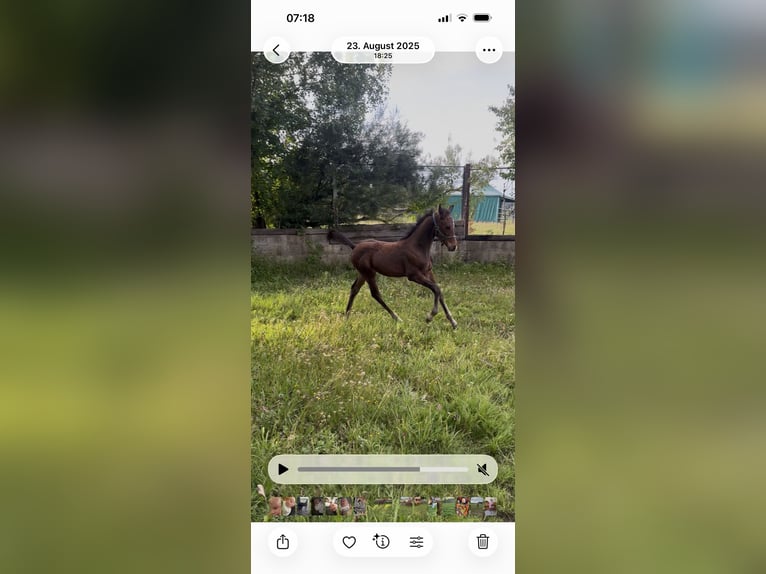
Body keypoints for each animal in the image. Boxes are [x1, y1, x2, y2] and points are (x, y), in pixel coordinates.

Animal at [327, 205, 459, 329]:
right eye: (447, 226)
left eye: (453, 225)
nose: (453, 247)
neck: (417, 247)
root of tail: (355, 246)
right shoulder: (414, 275)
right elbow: (436, 289)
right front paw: (430, 316)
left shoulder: (428, 272)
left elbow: (439, 292)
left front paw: (453, 322)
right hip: (369, 273)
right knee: (375, 294)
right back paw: (397, 318)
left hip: (362, 273)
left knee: (355, 289)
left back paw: (347, 316)